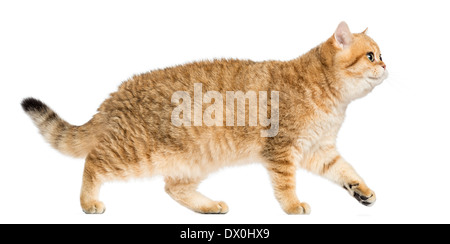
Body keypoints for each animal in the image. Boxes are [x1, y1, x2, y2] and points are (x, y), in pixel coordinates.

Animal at [21, 21, 386, 214]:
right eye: (370, 56)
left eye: (381, 55)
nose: (385, 65)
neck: (329, 95)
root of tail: (116, 95)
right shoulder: (282, 150)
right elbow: (286, 185)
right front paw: (293, 206)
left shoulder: (320, 150)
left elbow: (345, 171)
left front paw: (361, 190)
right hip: (133, 154)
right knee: (93, 162)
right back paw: (88, 201)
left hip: (195, 159)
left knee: (172, 188)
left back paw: (209, 206)